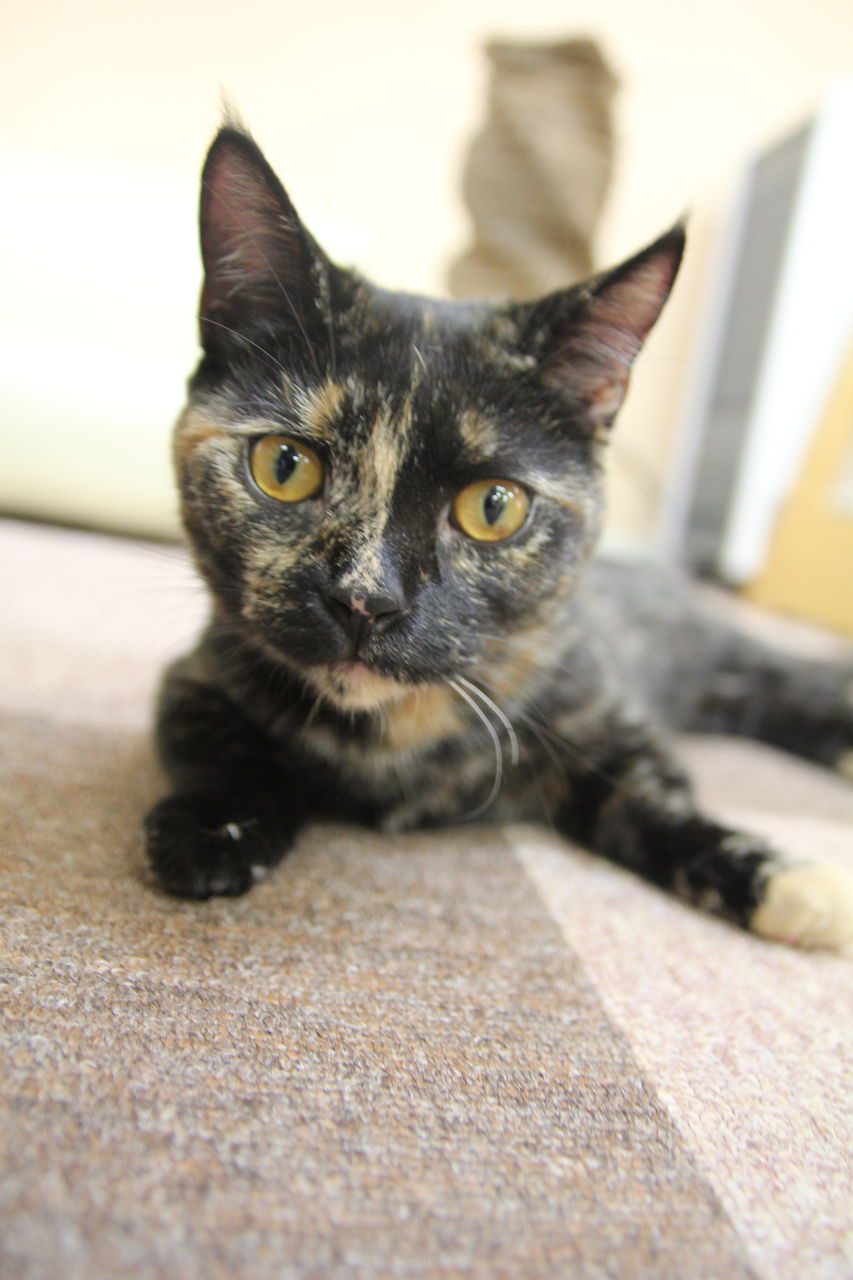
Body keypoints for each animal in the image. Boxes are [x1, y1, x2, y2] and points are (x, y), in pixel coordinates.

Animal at [145, 122, 853, 949]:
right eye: (284, 466)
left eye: (494, 508)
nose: (365, 600)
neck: (393, 734)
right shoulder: (199, 671)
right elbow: (219, 741)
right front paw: (211, 828)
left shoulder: (603, 714)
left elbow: (656, 799)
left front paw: (785, 880)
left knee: (790, 682)